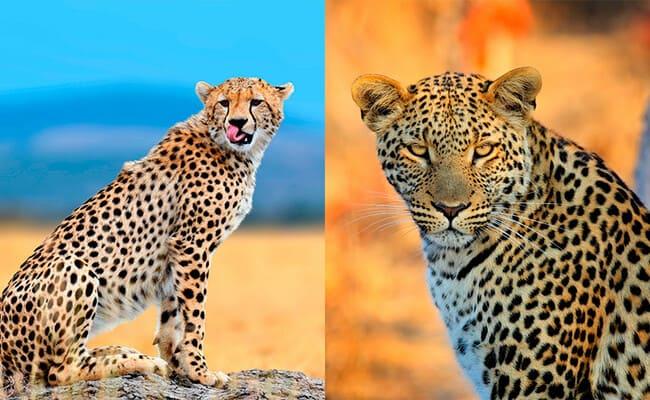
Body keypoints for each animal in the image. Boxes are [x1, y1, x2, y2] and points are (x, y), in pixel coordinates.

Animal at [0, 77, 293, 391]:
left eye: (256, 102)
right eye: (224, 103)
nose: (237, 122)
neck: (232, 148)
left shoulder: (179, 253)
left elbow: (173, 315)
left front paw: (180, 365)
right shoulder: (192, 245)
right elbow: (195, 316)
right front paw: (200, 371)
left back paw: (125, 352)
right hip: (74, 267)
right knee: (60, 371)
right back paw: (135, 361)